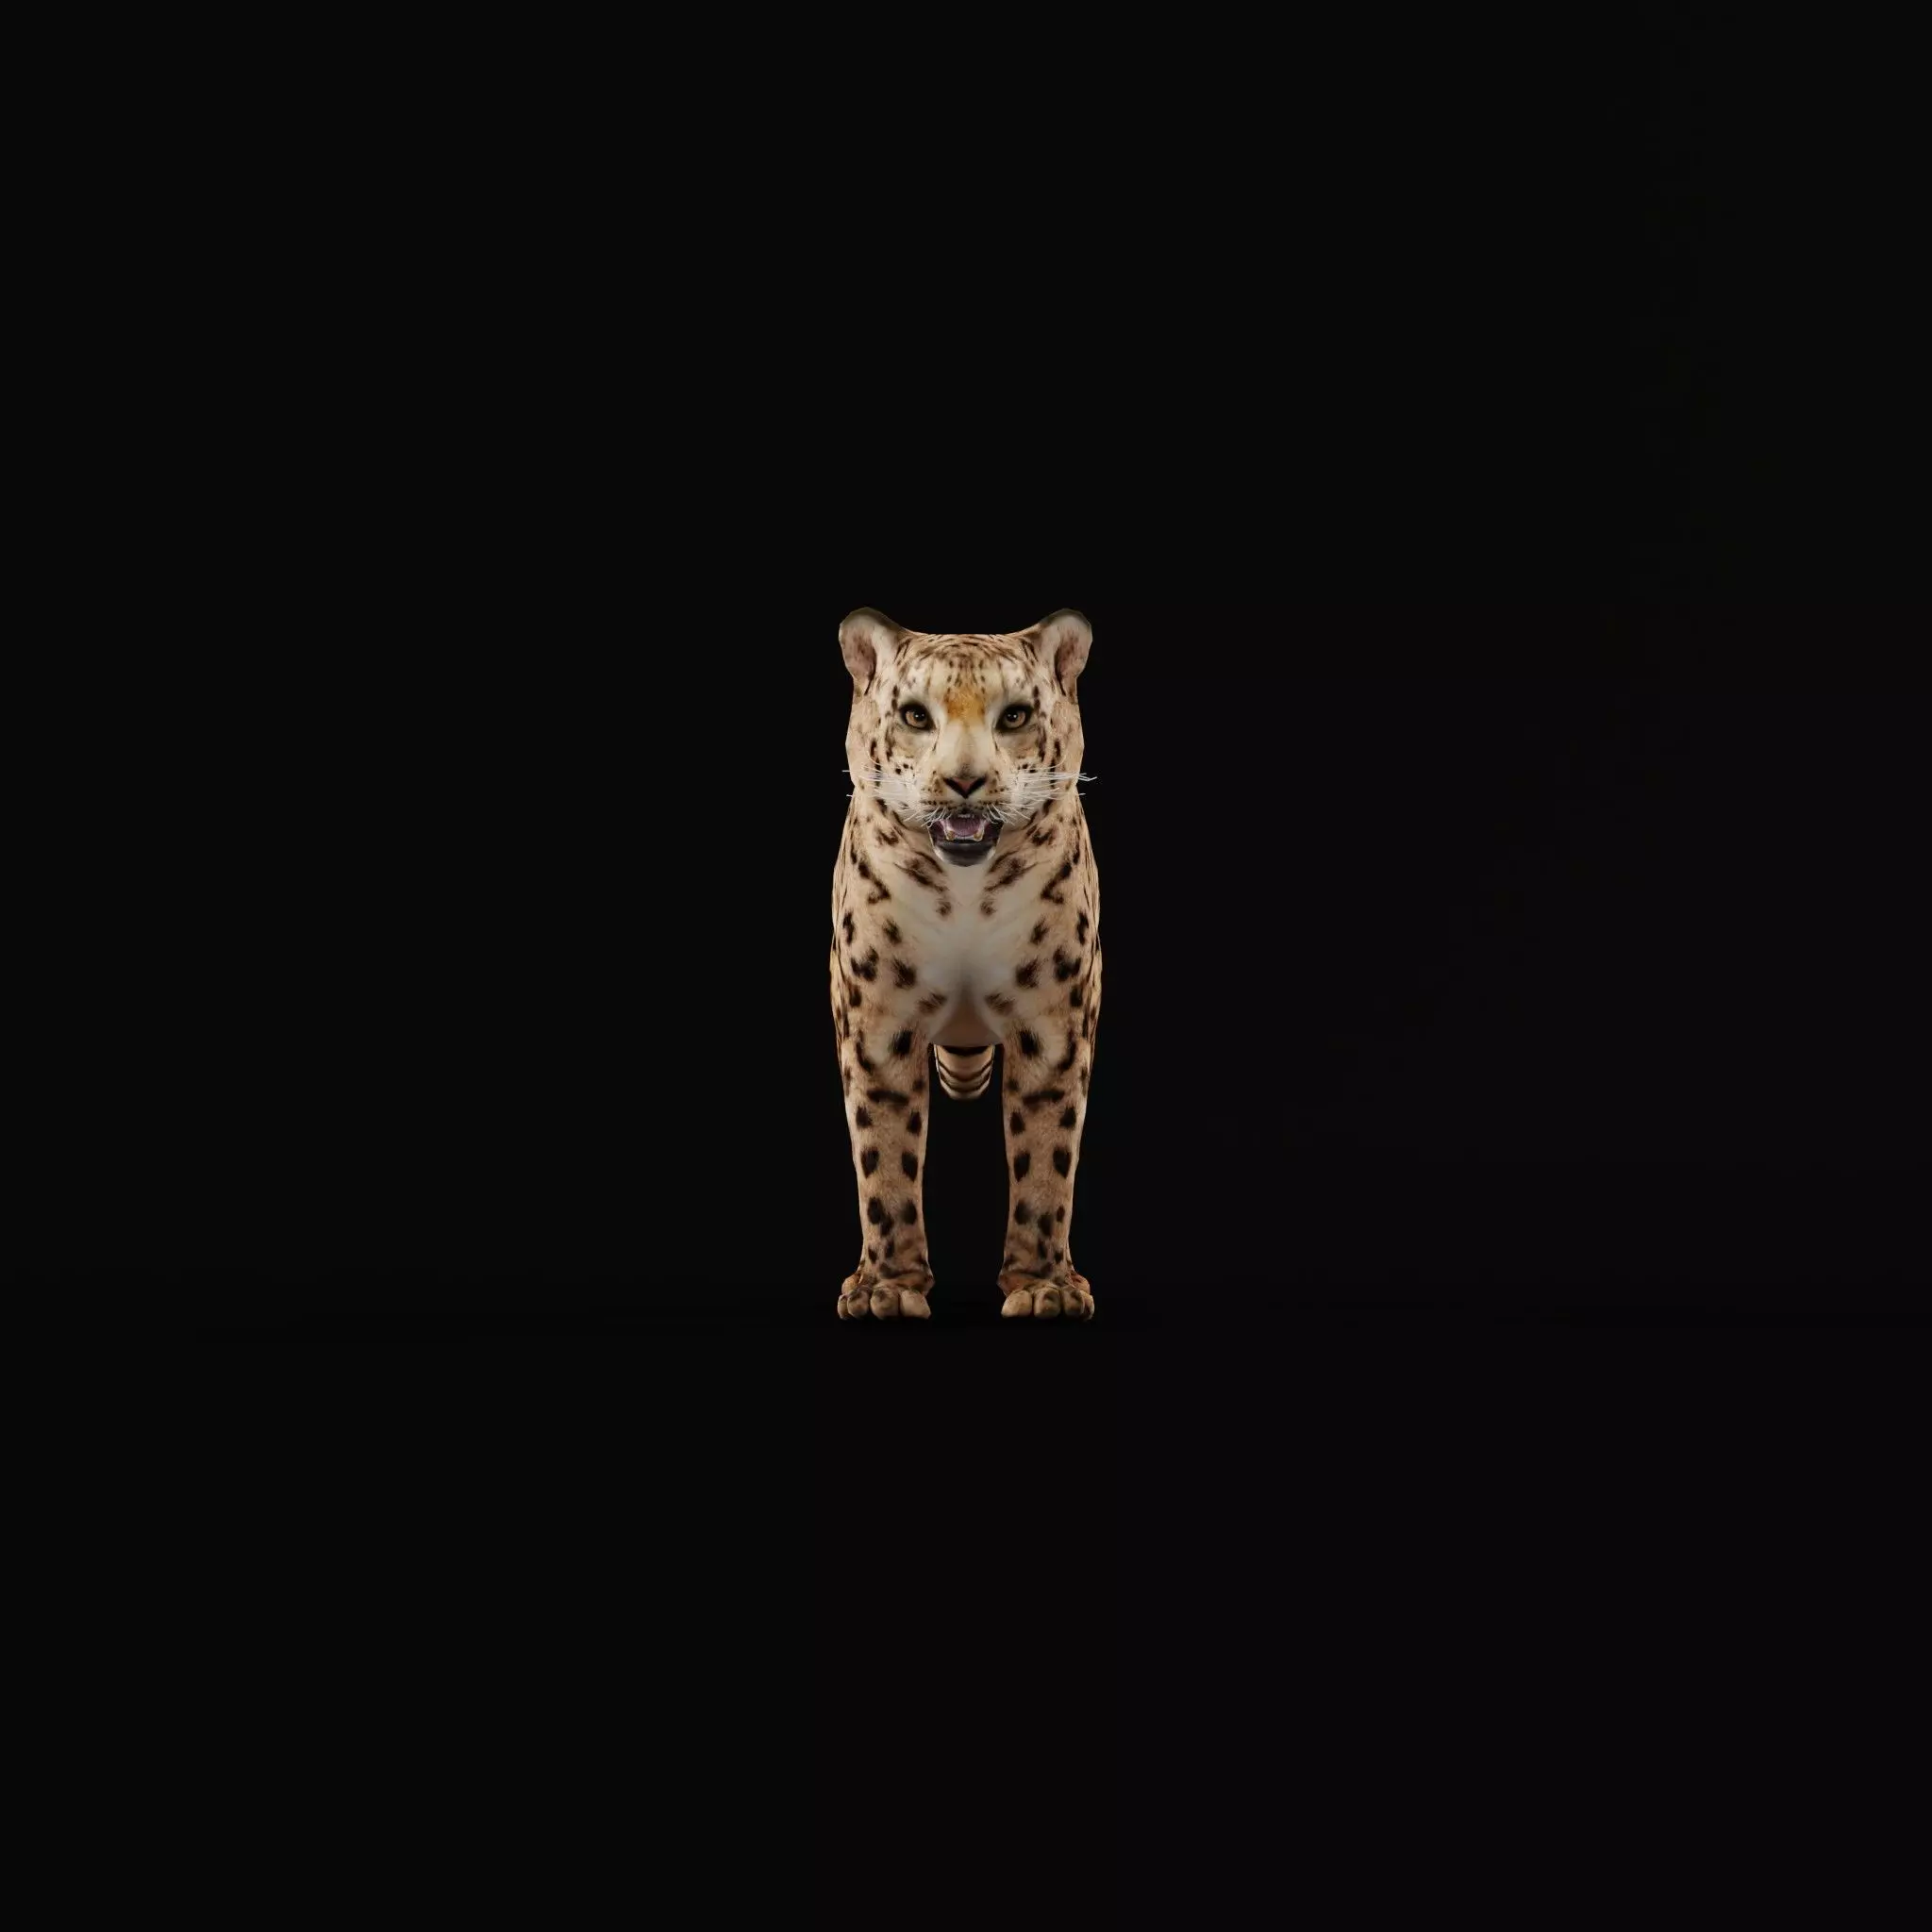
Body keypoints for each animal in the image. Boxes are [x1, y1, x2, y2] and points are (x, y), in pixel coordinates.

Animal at [830, 608, 1101, 1321]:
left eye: (1015, 715)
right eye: (915, 715)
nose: (964, 782)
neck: (965, 898)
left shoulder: (1053, 1025)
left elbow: (1046, 1159)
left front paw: (1044, 1287)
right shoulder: (878, 1023)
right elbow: (884, 1158)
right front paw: (886, 1289)